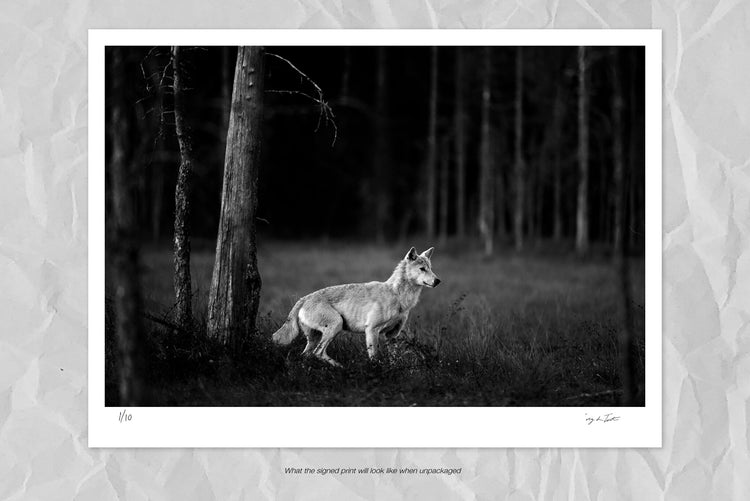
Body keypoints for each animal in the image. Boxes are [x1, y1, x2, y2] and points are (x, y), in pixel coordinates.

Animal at [271, 247, 441, 367]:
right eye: (422, 269)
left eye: (431, 268)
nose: (438, 281)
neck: (398, 296)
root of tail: (304, 298)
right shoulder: (371, 330)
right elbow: (374, 358)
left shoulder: (391, 335)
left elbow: (394, 359)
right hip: (336, 325)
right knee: (318, 353)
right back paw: (341, 367)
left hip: (316, 337)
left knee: (307, 355)